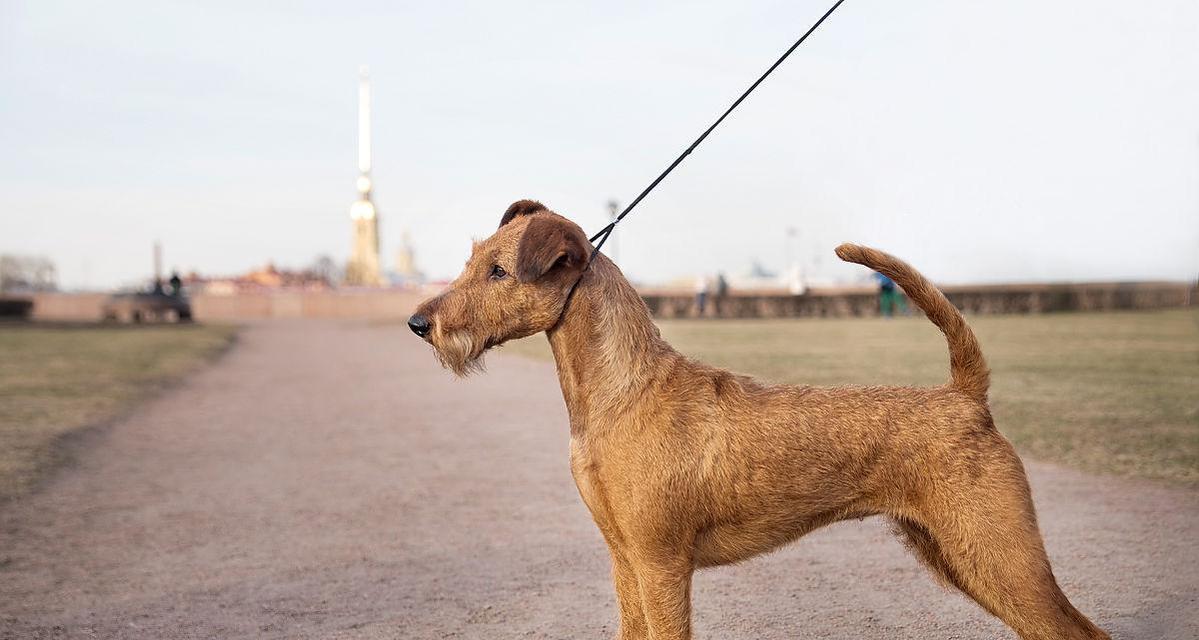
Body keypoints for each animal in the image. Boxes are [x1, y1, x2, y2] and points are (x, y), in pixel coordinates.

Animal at [407, 202, 1107, 640]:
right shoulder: (624, 559)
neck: (618, 393)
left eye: (499, 270)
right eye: (473, 260)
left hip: (1000, 554)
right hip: (958, 554)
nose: (419, 322)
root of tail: (966, 396)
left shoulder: (662, 562)